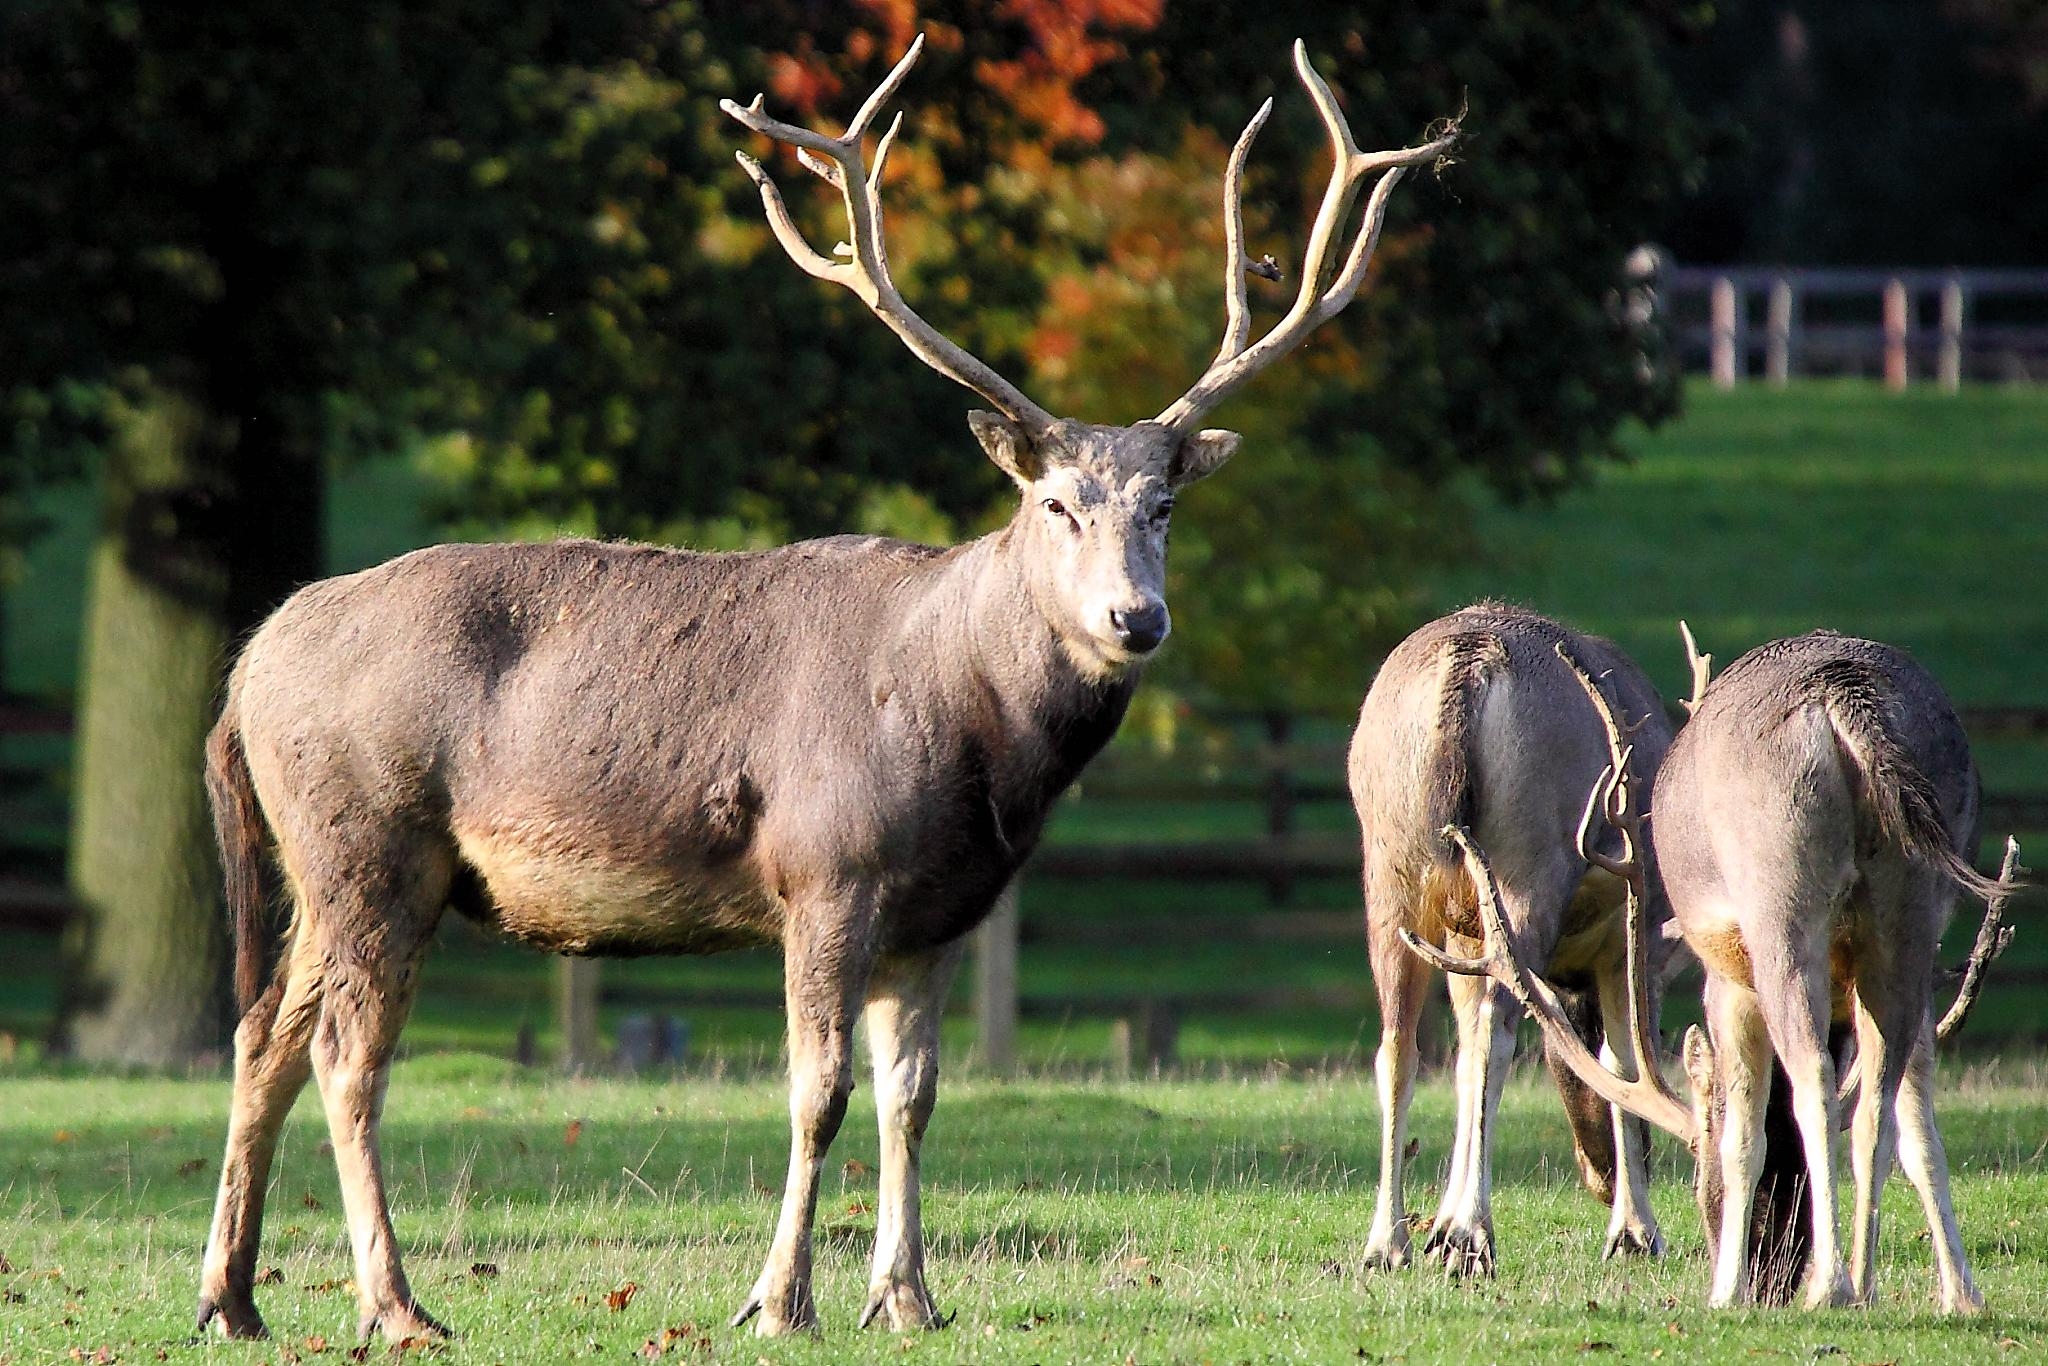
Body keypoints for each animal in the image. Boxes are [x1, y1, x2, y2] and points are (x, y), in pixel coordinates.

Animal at [193, 34, 1460, 1344]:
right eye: (1055, 503)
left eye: (1162, 504)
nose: (1135, 619)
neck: (976, 745)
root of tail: (245, 671)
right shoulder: (825, 868)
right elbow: (819, 1090)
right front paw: (776, 1296)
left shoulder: (946, 909)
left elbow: (913, 1094)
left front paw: (906, 1296)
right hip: (370, 840)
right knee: (346, 1055)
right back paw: (396, 1307)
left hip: (321, 866)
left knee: (261, 1031)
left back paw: (232, 1299)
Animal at [1348, 603, 1679, 1276]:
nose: (1599, 1178)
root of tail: (1468, 666)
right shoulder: (1632, 936)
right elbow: (1624, 1059)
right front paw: (1635, 1231)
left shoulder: (1462, 938)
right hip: (1529, 860)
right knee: (1496, 1029)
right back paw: (1471, 1233)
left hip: (1390, 872)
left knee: (1398, 1047)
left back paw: (1387, 1242)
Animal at [1414, 628, 2018, 1313]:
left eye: (1697, 1179)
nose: (1771, 1282)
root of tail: (1845, 704)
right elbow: (1915, 1124)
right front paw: (1960, 1294)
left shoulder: (1725, 979)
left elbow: (1742, 1133)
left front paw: (1725, 1290)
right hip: (1913, 911)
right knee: (1876, 1103)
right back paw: (1863, 1284)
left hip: (1776, 898)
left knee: (1811, 1074)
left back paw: (1829, 1287)